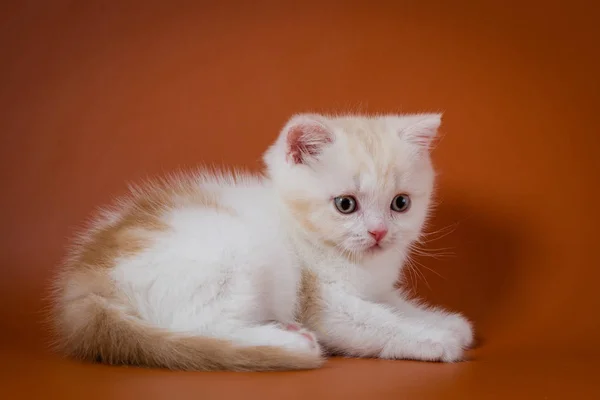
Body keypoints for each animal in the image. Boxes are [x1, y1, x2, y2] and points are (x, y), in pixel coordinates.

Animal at [49, 112, 474, 372]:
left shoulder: (376, 288)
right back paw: (288, 342)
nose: (379, 232)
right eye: (345, 204)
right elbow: (376, 322)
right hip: (237, 251)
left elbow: (393, 305)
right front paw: (434, 338)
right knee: (202, 325)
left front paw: (445, 322)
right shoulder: (322, 303)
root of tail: (86, 283)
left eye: (400, 203)